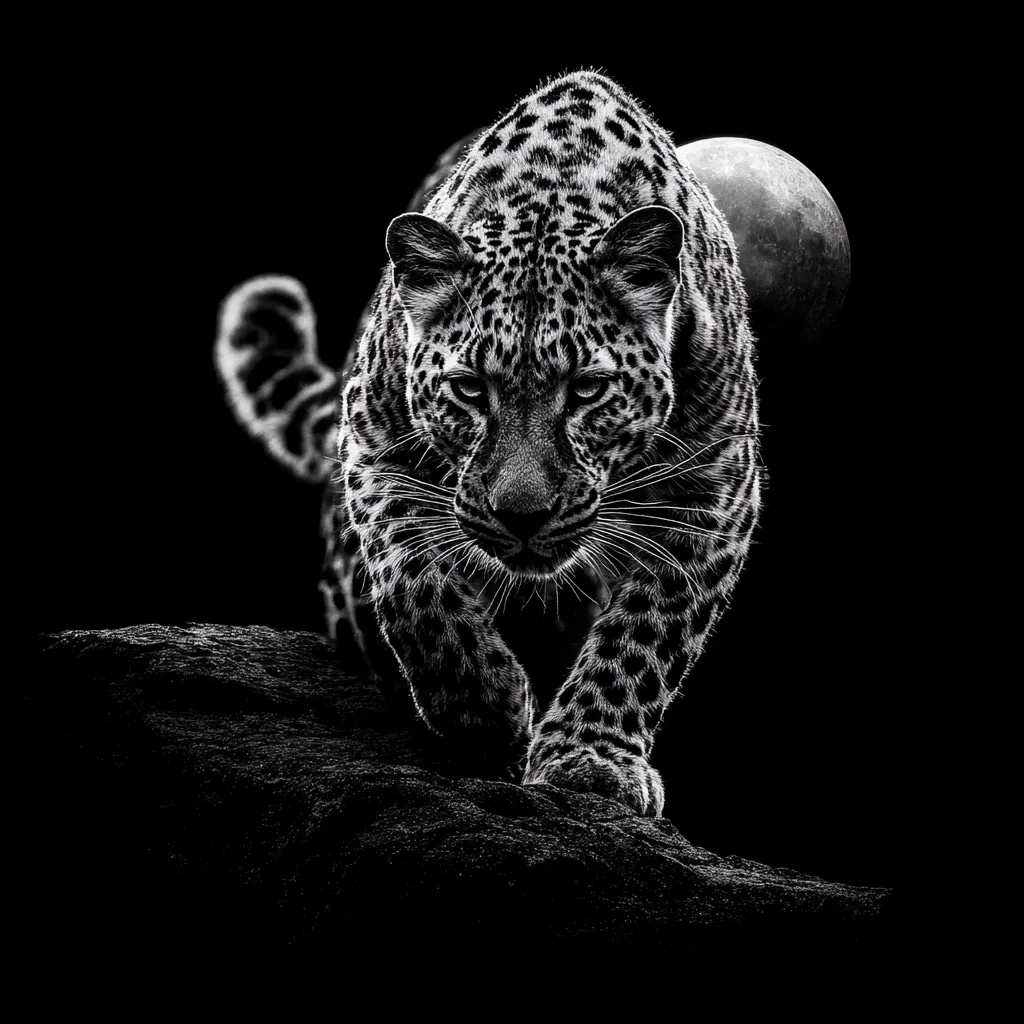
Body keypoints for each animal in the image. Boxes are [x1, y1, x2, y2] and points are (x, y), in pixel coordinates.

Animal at [215, 70, 761, 817]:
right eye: (471, 390)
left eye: (588, 389)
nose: (522, 516)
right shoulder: (373, 449)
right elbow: (415, 578)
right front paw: (488, 709)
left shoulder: (714, 489)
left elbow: (647, 633)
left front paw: (591, 758)